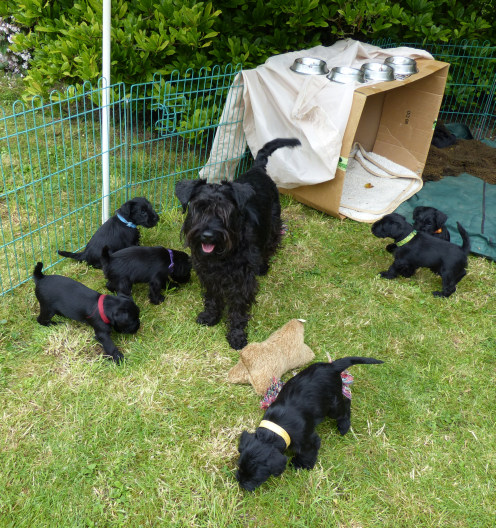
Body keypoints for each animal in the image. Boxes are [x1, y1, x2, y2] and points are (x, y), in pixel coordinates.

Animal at [174, 138, 300, 348]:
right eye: (198, 208)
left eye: (225, 211)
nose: (207, 235)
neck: (221, 255)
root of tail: (258, 168)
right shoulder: (208, 275)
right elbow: (212, 297)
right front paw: (210, 316)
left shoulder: (242, 281)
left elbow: (238, 309)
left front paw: (237, 335)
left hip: (273, 224)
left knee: (270, 246)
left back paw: (263, 267)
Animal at [236, 356, 384, 492]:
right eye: (240, 466)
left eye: (256, 476)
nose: (241, 484)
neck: (273, 432)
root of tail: (332, 366)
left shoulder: (307, 441)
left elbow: (308, 453)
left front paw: (301, 465)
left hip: (333, 406)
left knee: (346, 403)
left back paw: (344, 426)